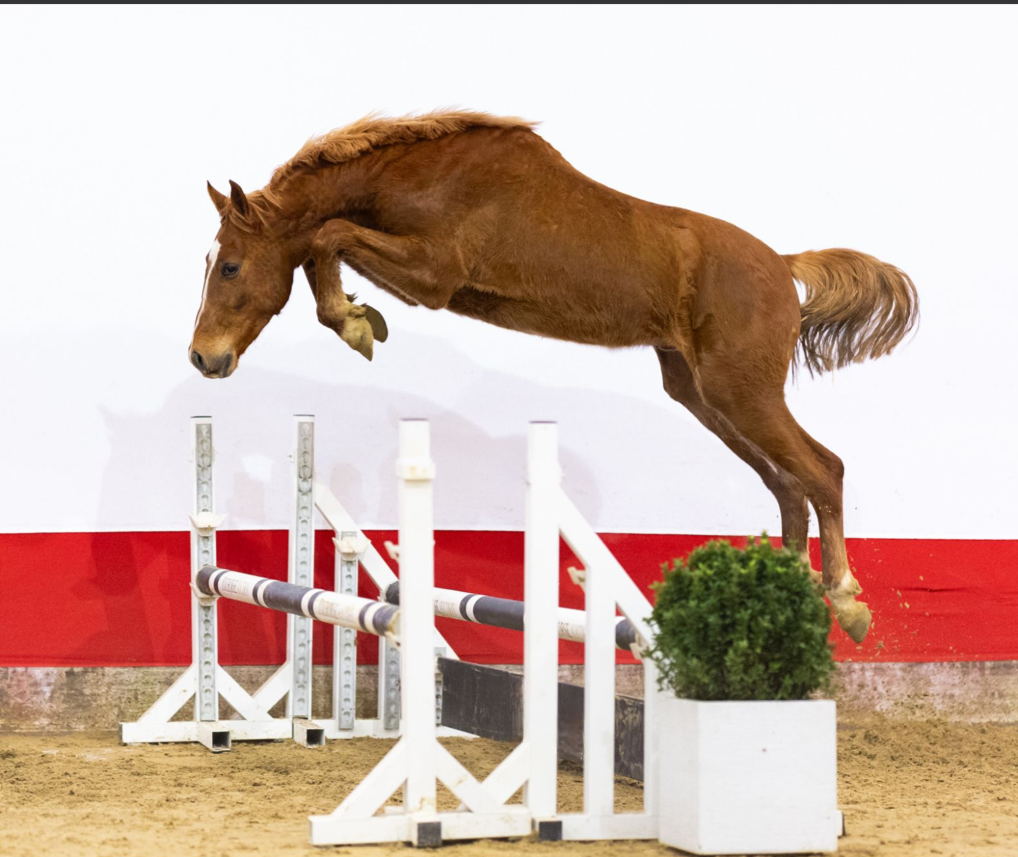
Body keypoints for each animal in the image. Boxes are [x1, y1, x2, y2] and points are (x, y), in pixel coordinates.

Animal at [189, 110, 918, 643]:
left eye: (229, 266)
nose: (202, 359)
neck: (423, 177)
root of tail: (783, 265)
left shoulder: (434, 275)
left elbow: (328, 234)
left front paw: (355, 321)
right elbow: (323, 245)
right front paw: (358, 319)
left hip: (742, 391)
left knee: (822, 470)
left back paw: (847, 602)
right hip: (702, 393)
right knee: (788, 484)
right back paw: (790, 598)